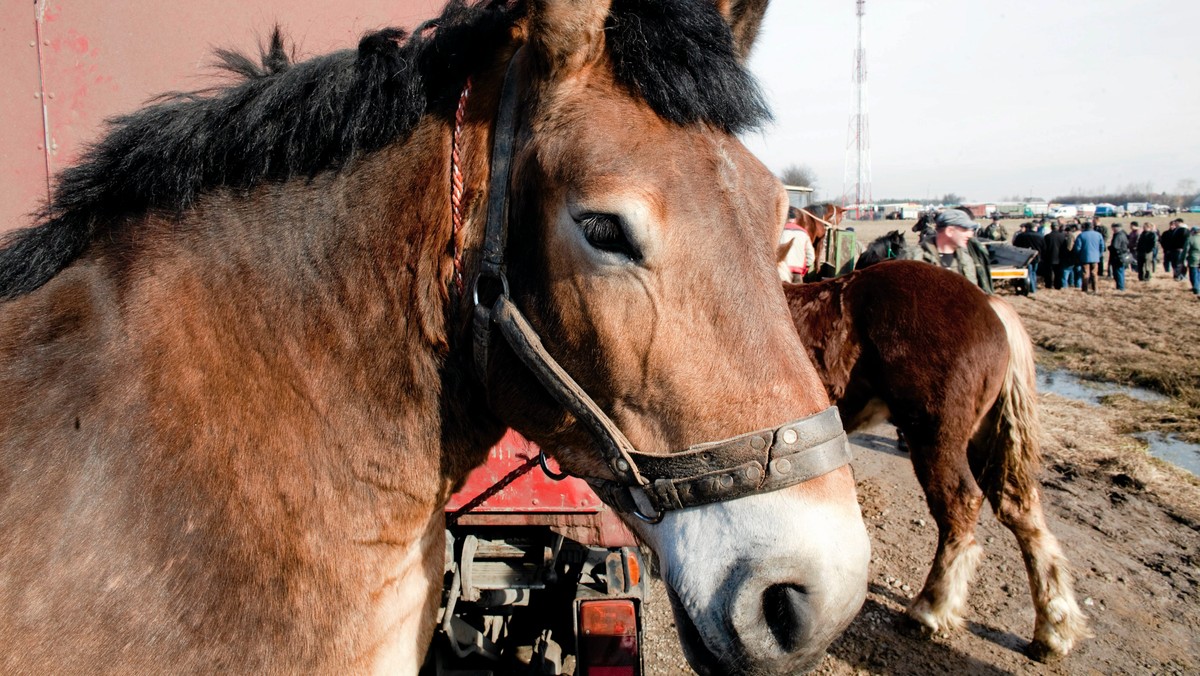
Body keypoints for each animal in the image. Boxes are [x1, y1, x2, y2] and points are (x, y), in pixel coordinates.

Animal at [782, 260, 1094, 662]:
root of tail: (990, 304)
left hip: (935, 437)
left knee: (960, 504)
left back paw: (931, 608)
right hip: (982, 439)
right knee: (1020, 510)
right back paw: (1053, 628)